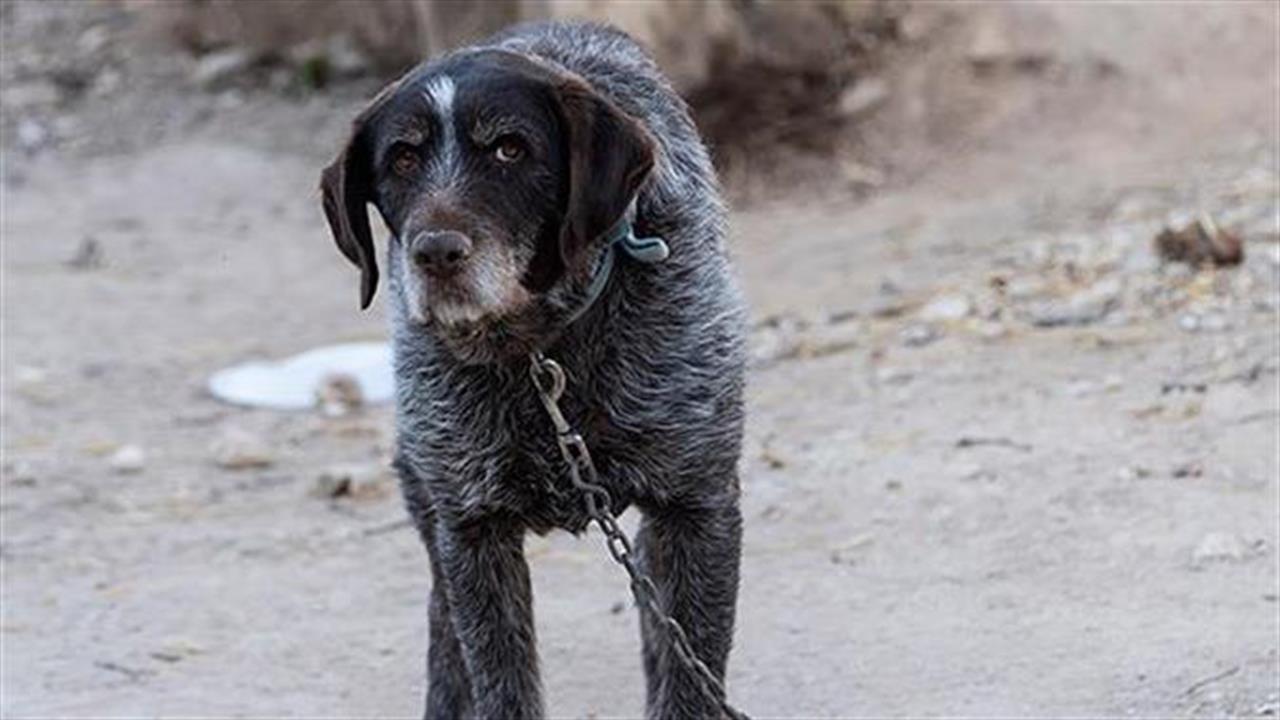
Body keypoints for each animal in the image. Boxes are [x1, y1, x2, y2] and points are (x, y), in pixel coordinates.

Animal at [316, 22, 747, 717]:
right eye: (402, 159)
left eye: (510, 150)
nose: (435, 252)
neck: (539, 348)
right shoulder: (470, 530)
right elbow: (499, 675)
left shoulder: (698, 507)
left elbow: (689, 674)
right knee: (443, 627)